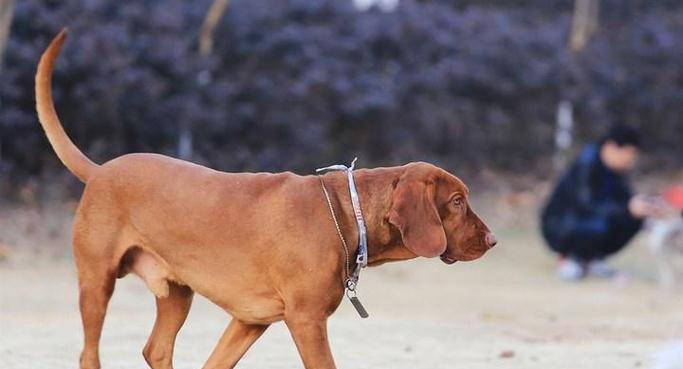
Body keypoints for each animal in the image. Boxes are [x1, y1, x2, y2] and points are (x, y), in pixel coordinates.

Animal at [36, 29, 496, 368]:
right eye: (457, 201)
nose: (493, 241)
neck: (347, 214)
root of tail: (100, 171)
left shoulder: (248, 320)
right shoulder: (306, 322)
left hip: (176, 292)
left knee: (157, 349)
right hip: (96, 282)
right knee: (89, 353)